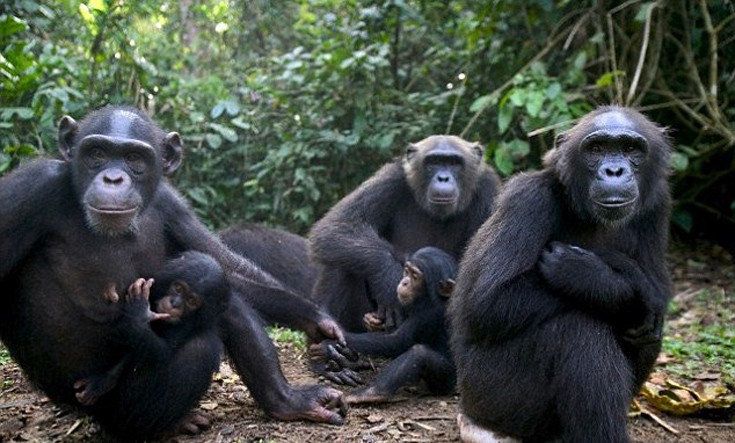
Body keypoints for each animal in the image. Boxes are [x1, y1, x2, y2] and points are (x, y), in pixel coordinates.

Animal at [73, 251, 230, 412]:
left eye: (191, 301)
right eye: (178, 288)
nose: (175, 303)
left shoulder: (186, 326)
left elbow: (162, 352)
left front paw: (140, 311)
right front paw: (102, 381)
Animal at [308, 135, 504, 332]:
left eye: (454, 163)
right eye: (433, 162)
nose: (443, 178)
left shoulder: (488, 191)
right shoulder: (390, 179)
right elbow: (339, 224)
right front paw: (388, 279)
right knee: (342, 259)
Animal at [310, 248, 460, 404]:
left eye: (415, 276)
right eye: (406, 271)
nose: (404, 282)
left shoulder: (429, 314)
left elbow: (397, 339)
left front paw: (327, 344)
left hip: (446, 380)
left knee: (419, 354)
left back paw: (369, 393)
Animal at [448, 106, 672, 442]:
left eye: (632, 149)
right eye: (596, 149)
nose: (614, 171)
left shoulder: (658, 206)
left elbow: (657, 287)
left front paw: (588, 272)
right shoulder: (528, 200)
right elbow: (490, 301)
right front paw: (600, 277)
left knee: (645, 332)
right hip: (489, 394)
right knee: (578, 329)